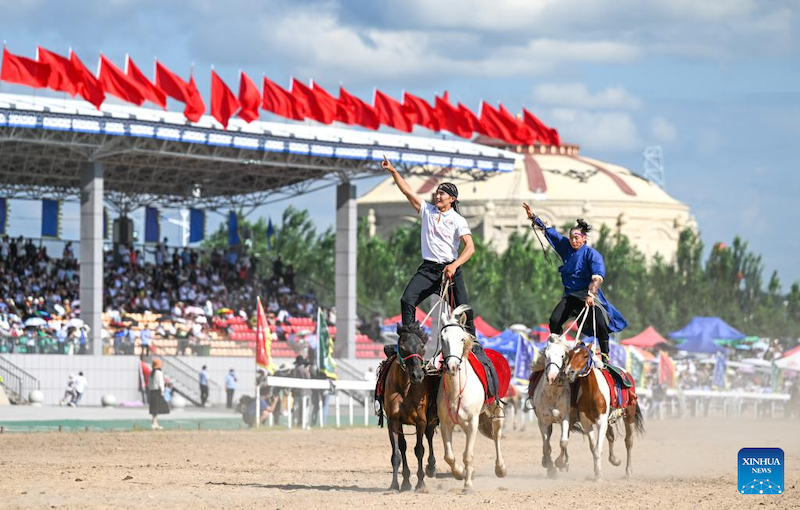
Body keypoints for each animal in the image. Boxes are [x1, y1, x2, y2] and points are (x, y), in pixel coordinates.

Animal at [382, 320, 438, 492]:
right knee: (403, 446)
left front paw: (421, 484)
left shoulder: (421, 421)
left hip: (431, 418)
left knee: (429, 436)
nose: (417, 376)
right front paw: (395, 485)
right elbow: (397, 453)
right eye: (402, 347)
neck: (405, 388)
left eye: (422, 346)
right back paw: (406, 482)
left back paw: (431, 467)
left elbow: (419, 450)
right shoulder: (393, 421)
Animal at [438, 304, 506, 492]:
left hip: (496, 410)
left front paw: (468, 485)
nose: (452, 366)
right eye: (442, 338)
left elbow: (468, 455)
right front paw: (460, 473)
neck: (456, 392)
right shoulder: (445, 424)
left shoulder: (471, 424)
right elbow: (449, 456)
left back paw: (501, 468)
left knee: (497, 436)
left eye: (462, 339)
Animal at [532, 334, 568, 478]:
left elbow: (563, 441)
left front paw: (560, 463)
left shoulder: (565, 417)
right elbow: (546, 446)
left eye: (563, 356)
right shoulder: (543, 421)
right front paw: (550, 468)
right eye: (546, 355)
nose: (552, 376)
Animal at [564, 340, 644, 480]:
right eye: (570, 354)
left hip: (629, 415)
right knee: (611, 436)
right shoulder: (587, 422)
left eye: (585, 356)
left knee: (629, 441)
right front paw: (597, 472)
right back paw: (615, 460)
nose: (569, 372)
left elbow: (598, 448)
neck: (592, 392)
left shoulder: (601, 421)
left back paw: (628, 471)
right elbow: (593, 448)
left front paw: (599, 475)